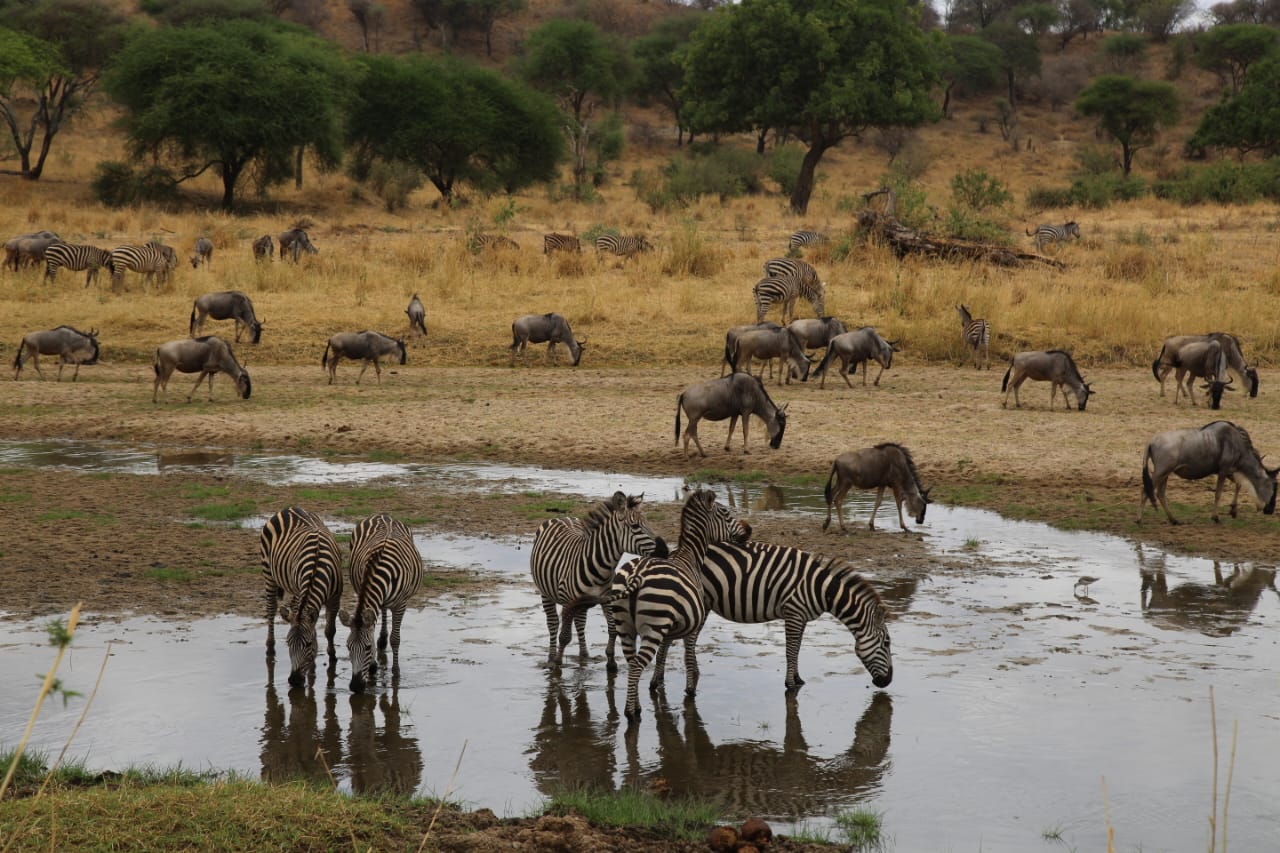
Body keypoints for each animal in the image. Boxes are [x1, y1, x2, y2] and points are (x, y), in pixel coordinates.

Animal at [260, 506, 344, 688]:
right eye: (288, 643)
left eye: (309, 644)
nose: (294, 681)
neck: (317, 566)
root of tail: (289, 508)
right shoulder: (301, 592)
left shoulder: (335, 599)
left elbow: (330, 630)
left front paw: (332, 657)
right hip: (268, 572)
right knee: (271, 608)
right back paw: (270, 647)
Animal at [339, 514, 424, 693]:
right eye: (348, 647)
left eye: (367, 648)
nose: (355, 687)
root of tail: (383, 515)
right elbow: (372, 628)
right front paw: (373, 667)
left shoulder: (401, 604)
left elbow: (396, 639)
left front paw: (396, 672)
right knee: (382, 611)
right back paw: (382, 640)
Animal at [531, 491, 668, 671]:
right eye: (635, 526)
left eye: (648, 523)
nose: (665, 551)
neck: (600, 568)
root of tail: (562, 517)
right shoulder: (569, 602)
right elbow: (565, 635)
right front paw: (558, 662)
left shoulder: (607, 599)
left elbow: (613, 630)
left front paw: (611, 661)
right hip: (545, 593)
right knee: (553, 624)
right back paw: (551, 657)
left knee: (580, 622)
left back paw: (584, 654)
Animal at [602, 489, 751, 722]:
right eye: (726, 513)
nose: (748, 530)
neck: (690, 557)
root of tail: (636, 575)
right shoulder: (691, 626)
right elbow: (688, 656)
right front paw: (690, 690)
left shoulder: (669, 629)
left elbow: (663, 654)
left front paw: (655, 684)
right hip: (652, 628)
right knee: (637, 665)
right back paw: (631, 713)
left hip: (626, 626)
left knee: (632, 662)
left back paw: (636, 706)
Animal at [698, 541, 893, 691]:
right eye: (886, 643)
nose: (889, 681)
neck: (821, 589)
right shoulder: (793, 613)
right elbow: (790, 650)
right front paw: (790, 684)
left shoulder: (802, 617)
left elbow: (797, 648)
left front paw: (798, 679)